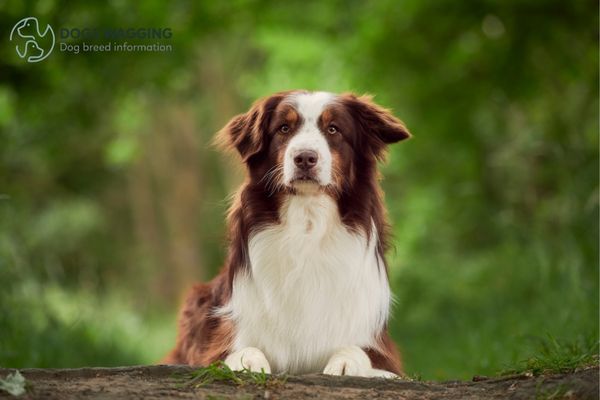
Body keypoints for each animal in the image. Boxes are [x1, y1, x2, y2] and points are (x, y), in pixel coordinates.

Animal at [162, 90, 410, 378]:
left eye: (333, 129)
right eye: (284, 128)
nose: (304, 157)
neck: (307, 222)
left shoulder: (380, 350)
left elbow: (358, 351)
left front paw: (345, 364)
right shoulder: (223, 339)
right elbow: (241, 350)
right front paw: (249, 362)